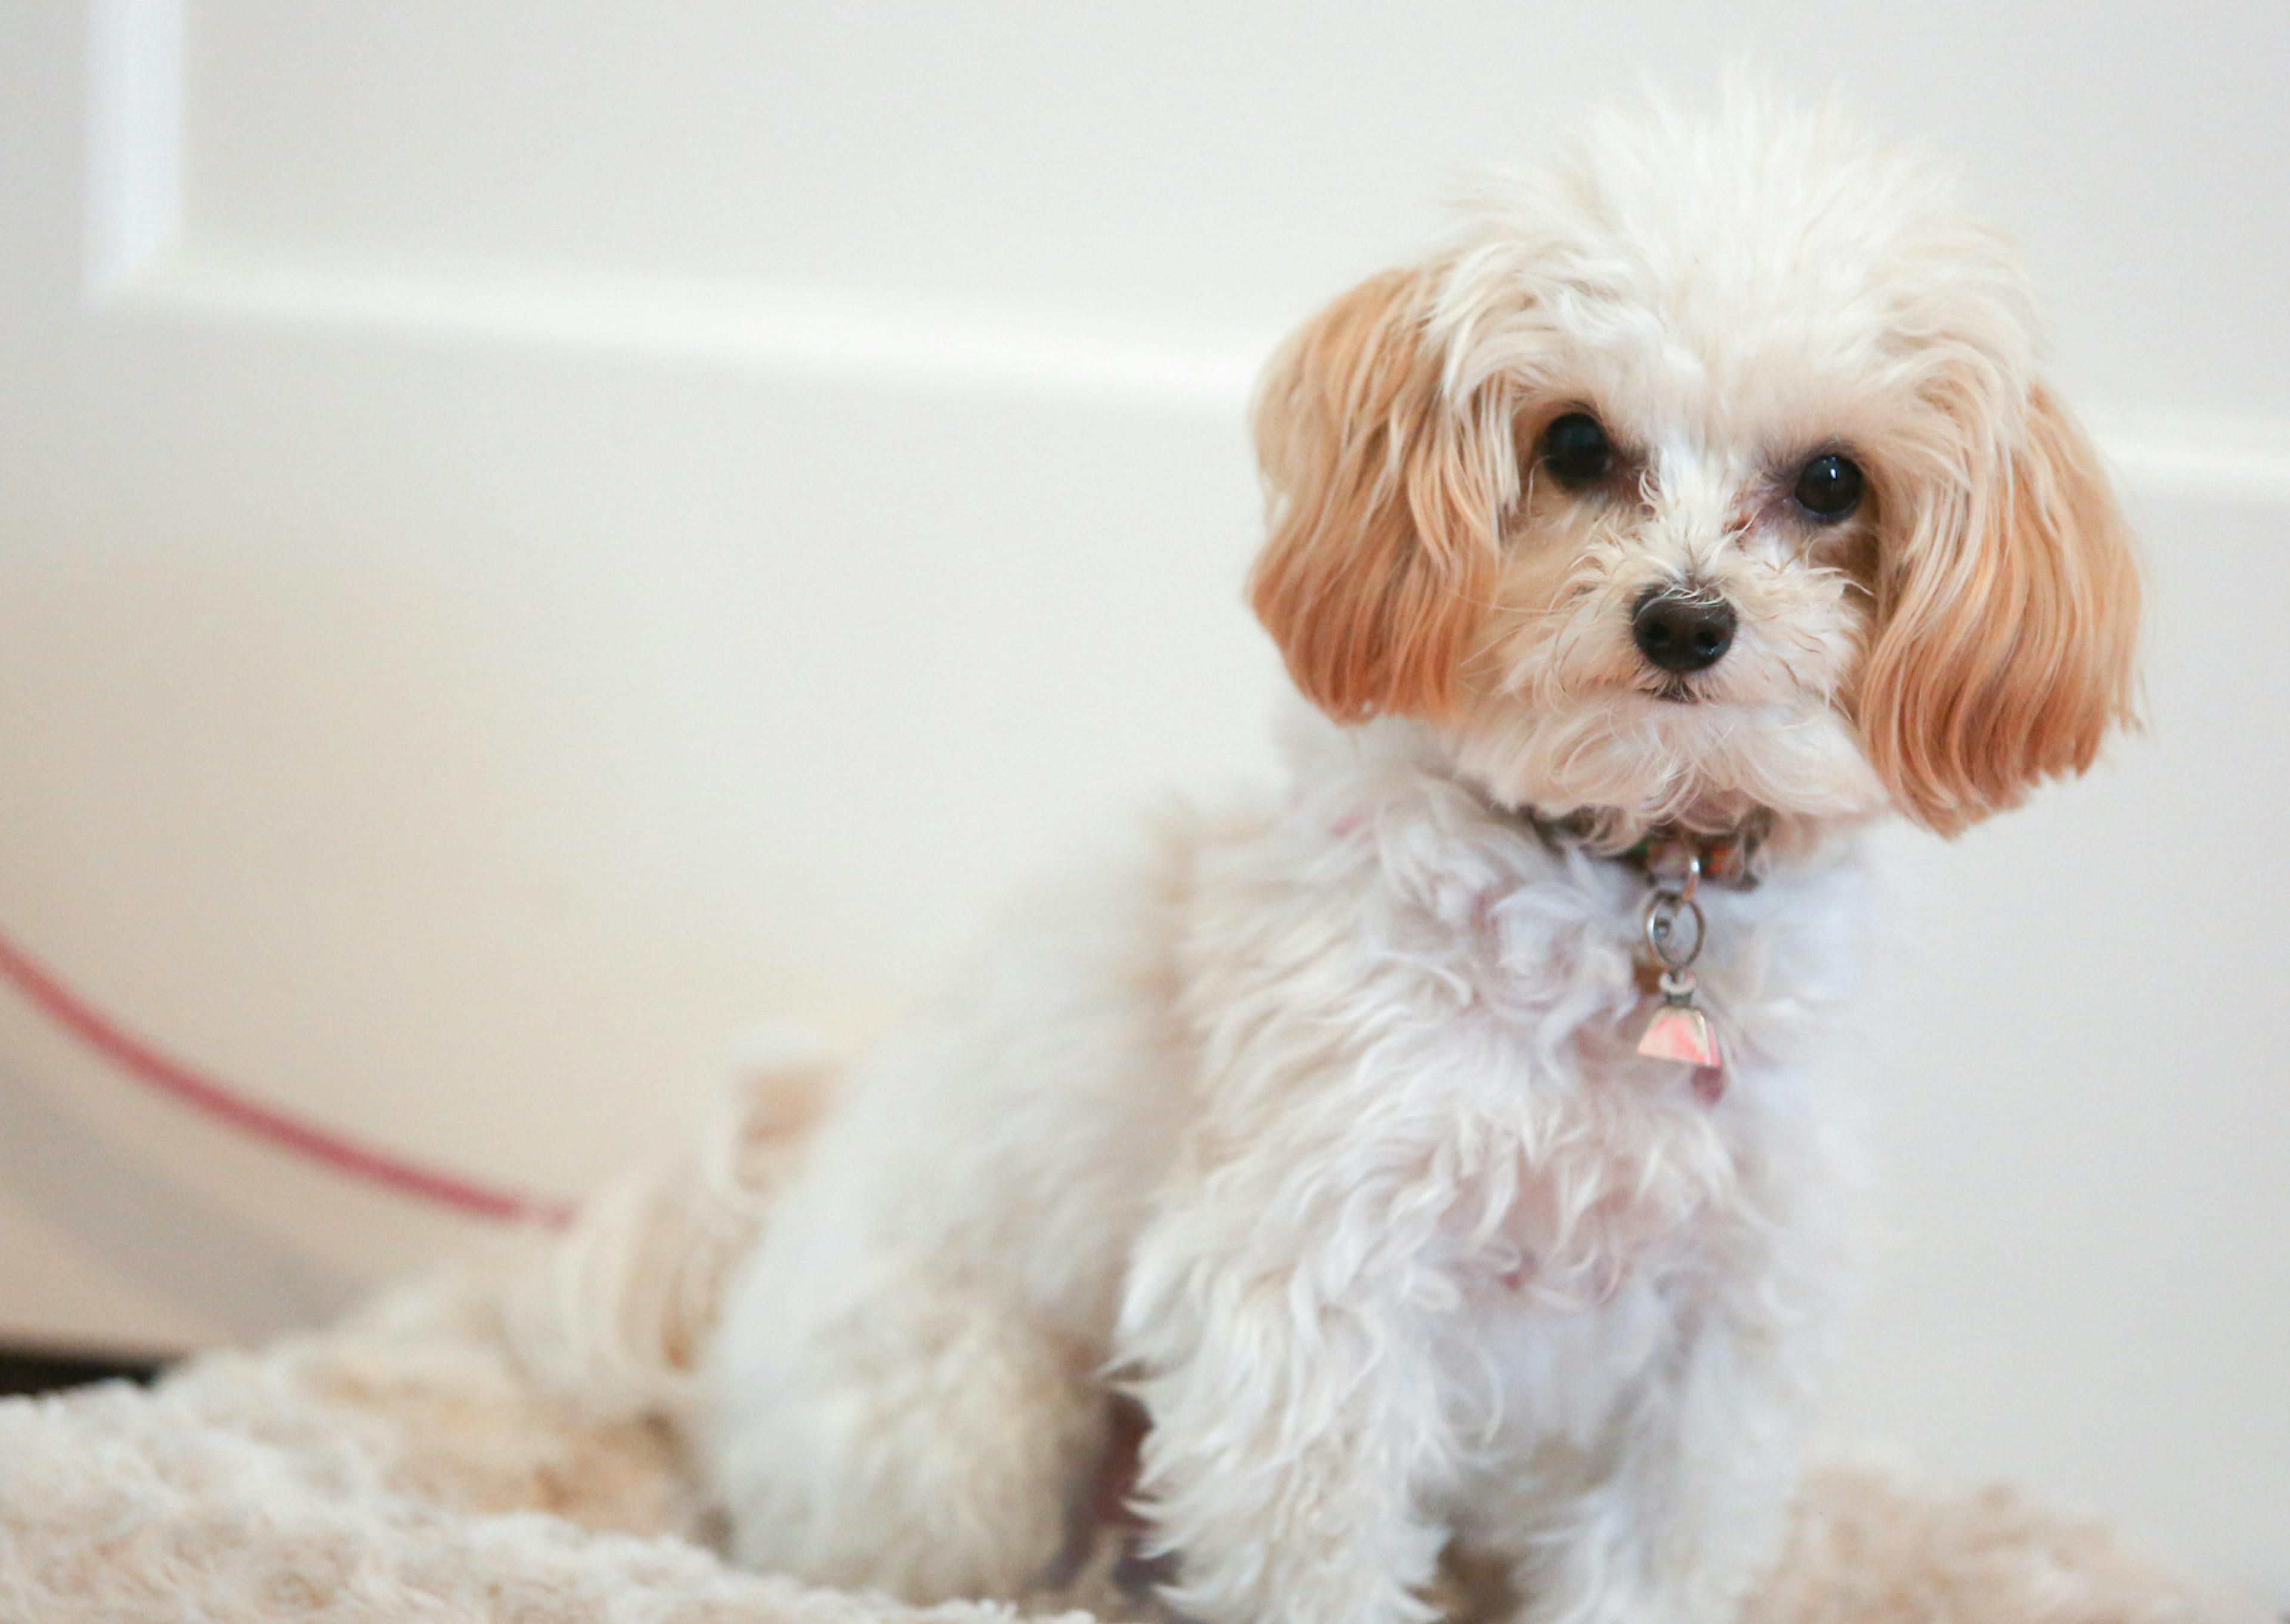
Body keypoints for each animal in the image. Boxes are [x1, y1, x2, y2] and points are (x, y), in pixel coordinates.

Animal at [696, 91, 2143, 1622]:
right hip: (965, 1431)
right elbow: (1316, 1551)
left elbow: (1646, 1557)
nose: (1684, 620)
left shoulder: (1714, 1336)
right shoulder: (1315, 1292)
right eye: (1575, 444)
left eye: (1828, 480)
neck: (1627, 877)